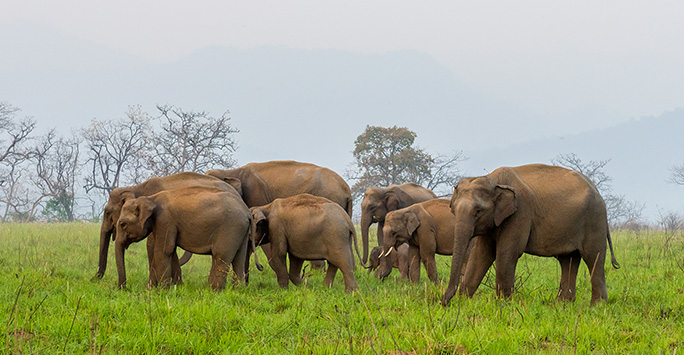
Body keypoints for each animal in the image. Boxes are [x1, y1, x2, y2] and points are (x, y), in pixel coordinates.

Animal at [92, 172, 238, 284]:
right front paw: (177, 286)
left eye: (107, 213)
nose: (92, 281)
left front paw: (152, 286)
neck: (136, 188)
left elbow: (152, 244)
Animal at [116, 186, 252, 292]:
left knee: (220, 256)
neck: (151, 198)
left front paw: (162, 291)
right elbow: (171, 251)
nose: (122, 289)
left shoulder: (165, 220)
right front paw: (176, 288)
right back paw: (237, 291)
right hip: (242, 231)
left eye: (122, 224)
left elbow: (163, 251)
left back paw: (213, 291)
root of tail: (247, 211)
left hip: (230, 228)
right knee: (239, 259)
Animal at [440, 165, 624, 308]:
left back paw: (596, 306)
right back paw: (561, 305)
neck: (493, 180)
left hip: (594, 219)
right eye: (453, 210)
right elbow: (481, 255)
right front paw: (464, 303)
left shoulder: (520, 213)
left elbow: (507, 253)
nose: (443, 301)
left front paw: (502, 305)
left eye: (478, 211)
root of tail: (596, 189)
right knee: (568, 260)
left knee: (594, 258)